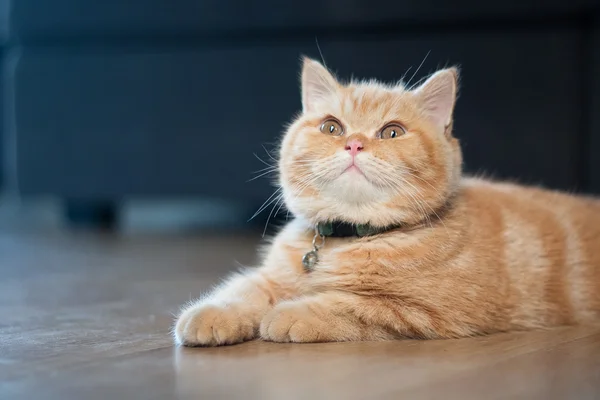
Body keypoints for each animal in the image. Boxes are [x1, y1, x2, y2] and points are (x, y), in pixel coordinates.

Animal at [173, 57, 600, 346]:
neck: (348, 238)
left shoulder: (424, 311)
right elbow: (245, 289)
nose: (354, 144)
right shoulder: (272, 275)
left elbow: (349, 304)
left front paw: (291, 313)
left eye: (392, 132)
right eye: (332, 127)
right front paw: (212, 313)